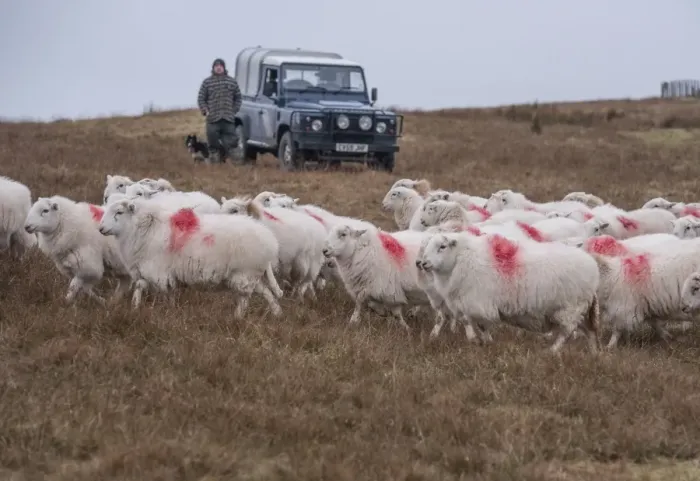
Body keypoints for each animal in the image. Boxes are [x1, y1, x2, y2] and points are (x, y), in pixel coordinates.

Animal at [98, 199, 283, 316]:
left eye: (119, 212)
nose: (101, 229)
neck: (145, 228)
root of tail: (270, 240)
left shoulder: (159, 273)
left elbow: (163, 293)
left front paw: (167, 311)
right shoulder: (148, 272)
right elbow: (139, 287)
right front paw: (135, 307)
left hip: (244, 274)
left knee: (245, 299)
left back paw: (237, 317)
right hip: (251, 275)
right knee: (267, 292)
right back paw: (276, 313)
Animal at [418, 232, 601, 353]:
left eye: (442, 247)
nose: (423, 263)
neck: (460, 258)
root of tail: (593, 268)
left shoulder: (479, 304)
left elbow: (481, 325)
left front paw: (485, 342)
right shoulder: (467, 304)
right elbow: (468, 323)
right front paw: (479, 341)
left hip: (570, 308)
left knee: (567, 332)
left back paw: (552, 350)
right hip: (581, 310)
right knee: (590, 332)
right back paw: (593, 354)